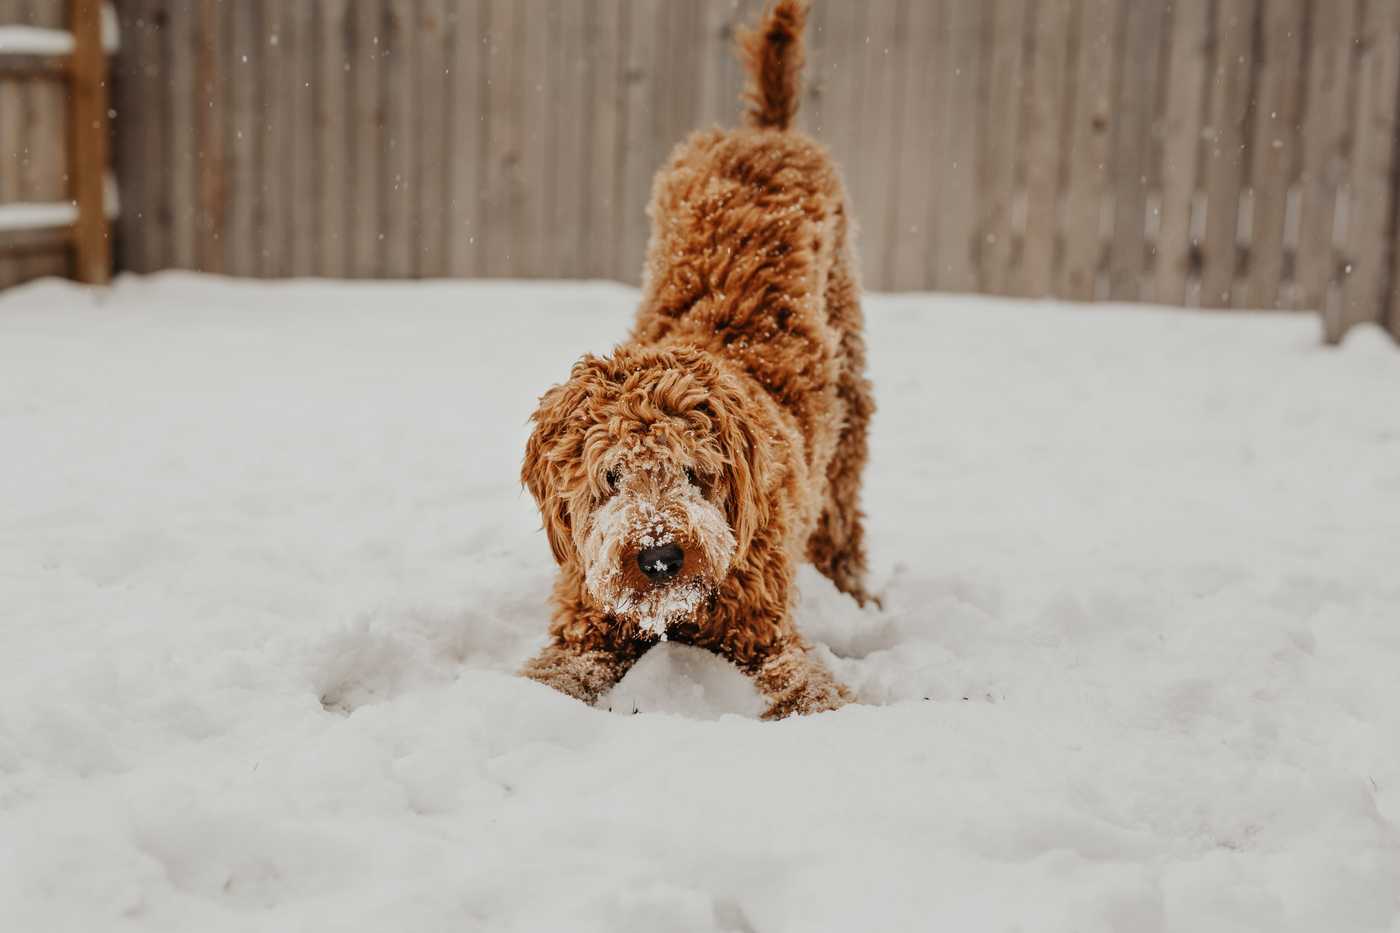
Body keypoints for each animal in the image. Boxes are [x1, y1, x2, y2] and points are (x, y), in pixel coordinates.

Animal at [526, 0, 873, 717]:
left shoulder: (764, 628)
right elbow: (555, 673)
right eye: (610, 477)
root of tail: (764, 131)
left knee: (843, 510)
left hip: (850, 390)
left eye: (694, 471)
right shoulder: (586, 620)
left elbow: (805, 685)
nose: (659, 556)